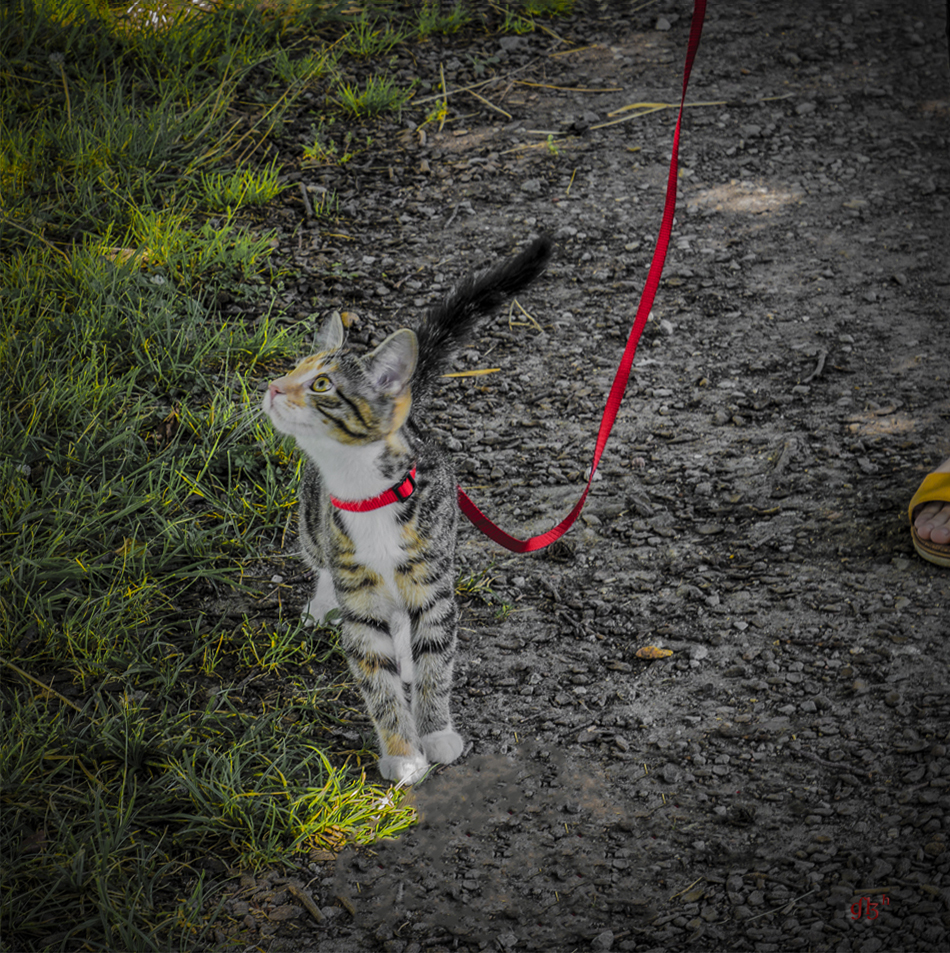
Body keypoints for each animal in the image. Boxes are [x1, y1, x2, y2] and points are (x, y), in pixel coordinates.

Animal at [262, 235, 552, 785]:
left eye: (322, 385)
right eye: (291, 370)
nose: (271, 386)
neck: (364, 492)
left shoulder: (433, 584)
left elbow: (436, 657)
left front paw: (435, 731)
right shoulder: (358, 598)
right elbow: (376, 678)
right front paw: (402, 752)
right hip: (312, 524)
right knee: (322, 562)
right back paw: (323, 605)